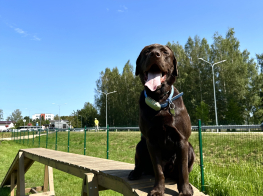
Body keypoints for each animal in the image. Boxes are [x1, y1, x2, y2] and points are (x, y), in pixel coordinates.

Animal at [129, 44, 195, 196]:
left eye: (165, 52)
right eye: (146, 51)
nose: (155, 54)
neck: (159, 100)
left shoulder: (182, 140)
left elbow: (183, 170)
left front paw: (185, 190)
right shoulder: (151, 141)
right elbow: (158, 171)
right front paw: (158, 190)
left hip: (191, 149)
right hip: (140, 145)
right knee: (140, 165)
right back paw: (134, 173)